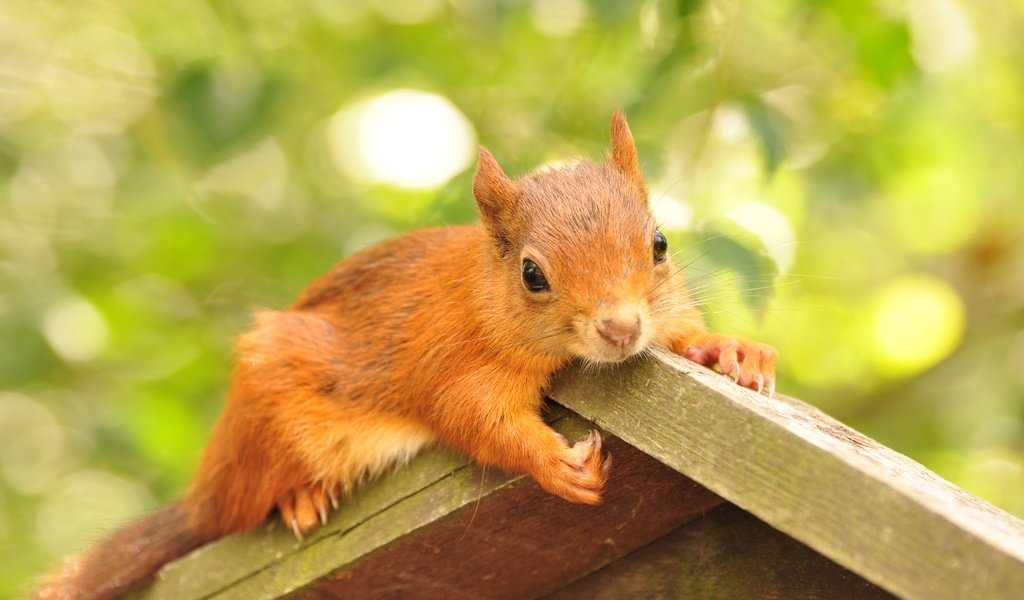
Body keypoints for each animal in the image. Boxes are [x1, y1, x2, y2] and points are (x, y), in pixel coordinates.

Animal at [36, 111, 778, 593]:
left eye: (659, 244)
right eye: (532, 275)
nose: (621, 329)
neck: (484, 297)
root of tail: (205, 490)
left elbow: (682, 335)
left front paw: (733, 351)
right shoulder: (455, 364)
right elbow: (476, 421)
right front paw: (554, 463)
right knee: (240, 509)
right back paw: (300, 498)